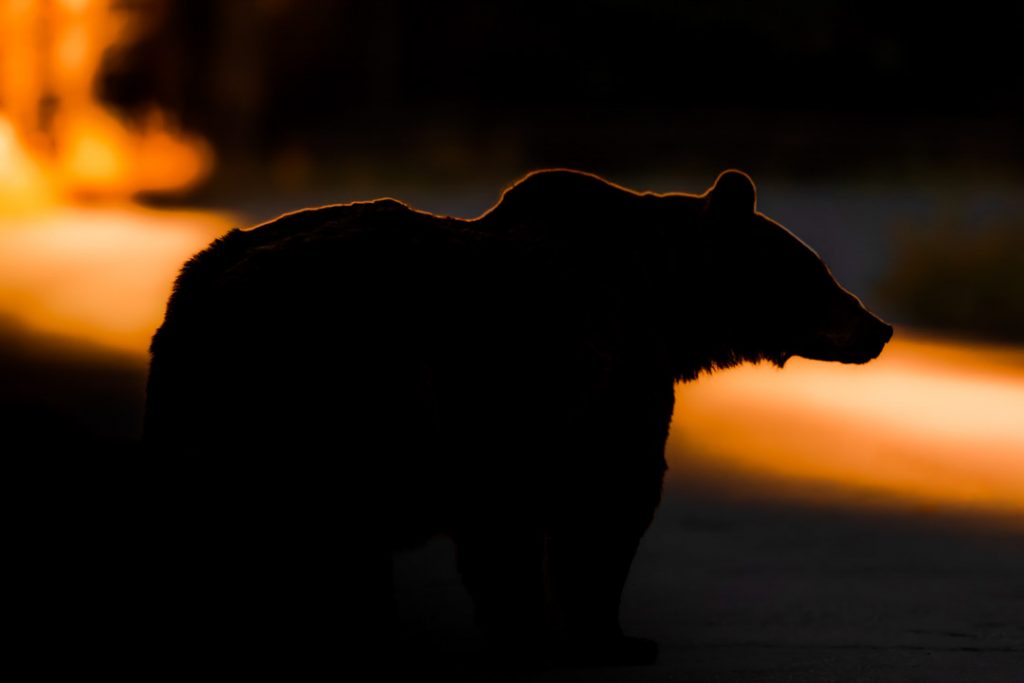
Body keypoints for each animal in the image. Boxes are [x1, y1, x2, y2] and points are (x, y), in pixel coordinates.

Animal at [143, 169, 892, 670]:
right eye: (818, 271)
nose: (879, 326)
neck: (666, 307)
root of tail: (203, 284)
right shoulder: (576, 385)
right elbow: (604, 506)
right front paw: (608, 637)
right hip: (337, 378)